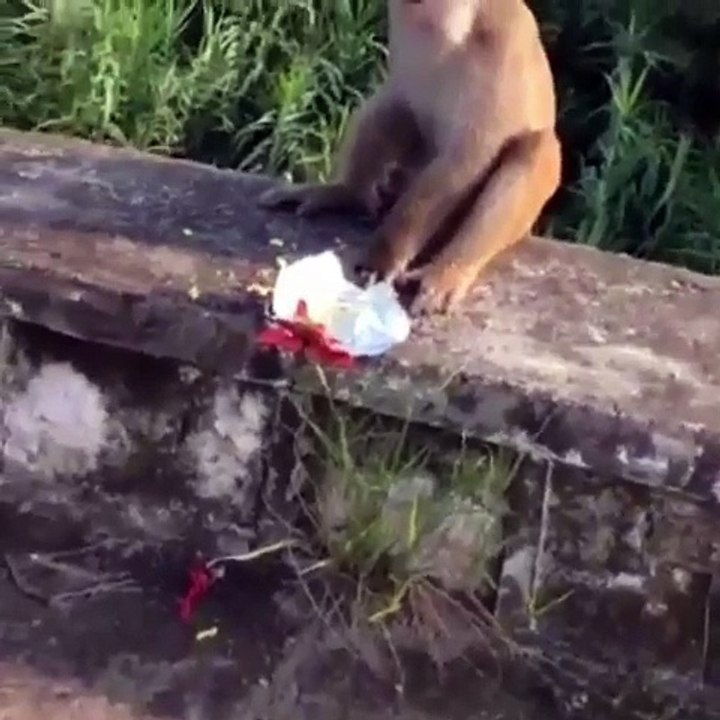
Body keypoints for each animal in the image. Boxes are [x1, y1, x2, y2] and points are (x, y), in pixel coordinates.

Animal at [258, 0, 562, 316]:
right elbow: (402, 102)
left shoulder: (497, 52)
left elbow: (467, 158)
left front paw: (386, 256)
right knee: (391, 107)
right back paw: (345, 193)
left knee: (535, 148)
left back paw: (448, 270)